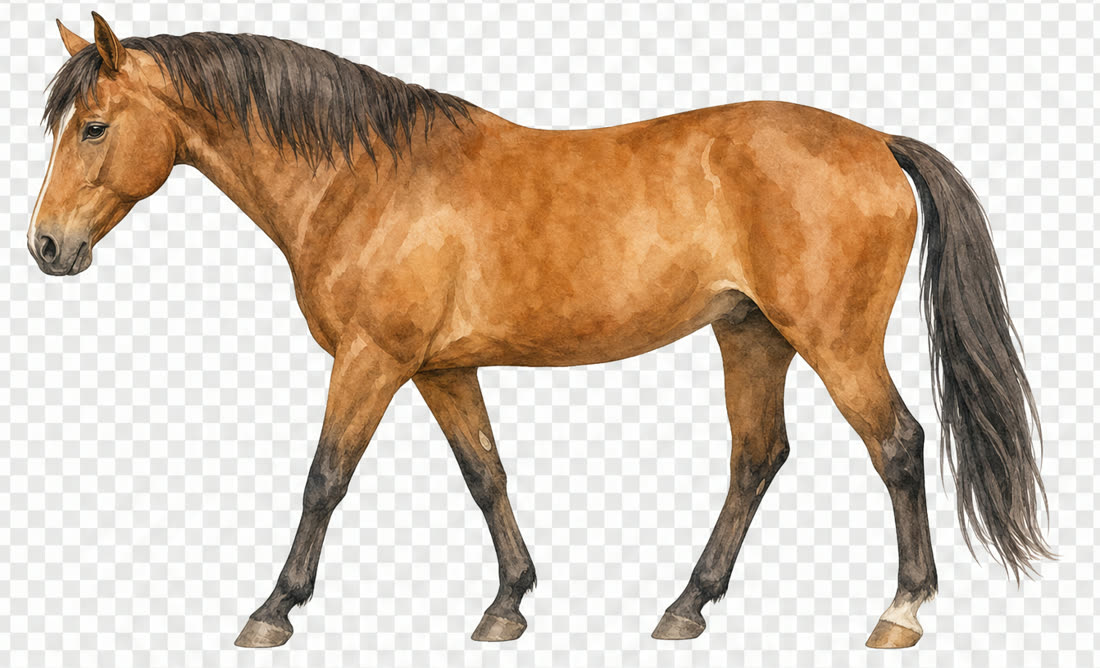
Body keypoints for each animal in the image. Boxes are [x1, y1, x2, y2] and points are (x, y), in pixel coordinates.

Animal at [30, 14, 1052, 649]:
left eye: (94, 127)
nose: (46, 246)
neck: (366, 179)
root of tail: (874, 139)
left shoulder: (373, 359)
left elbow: (326, 477)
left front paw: (274, 609)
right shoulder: (440, 370)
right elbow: (485, 476)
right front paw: (508, 604)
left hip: (833, 342)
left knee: (898, 444)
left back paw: (901, 611)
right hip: (751, 337)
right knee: (758, 457)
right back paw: (687, 606)